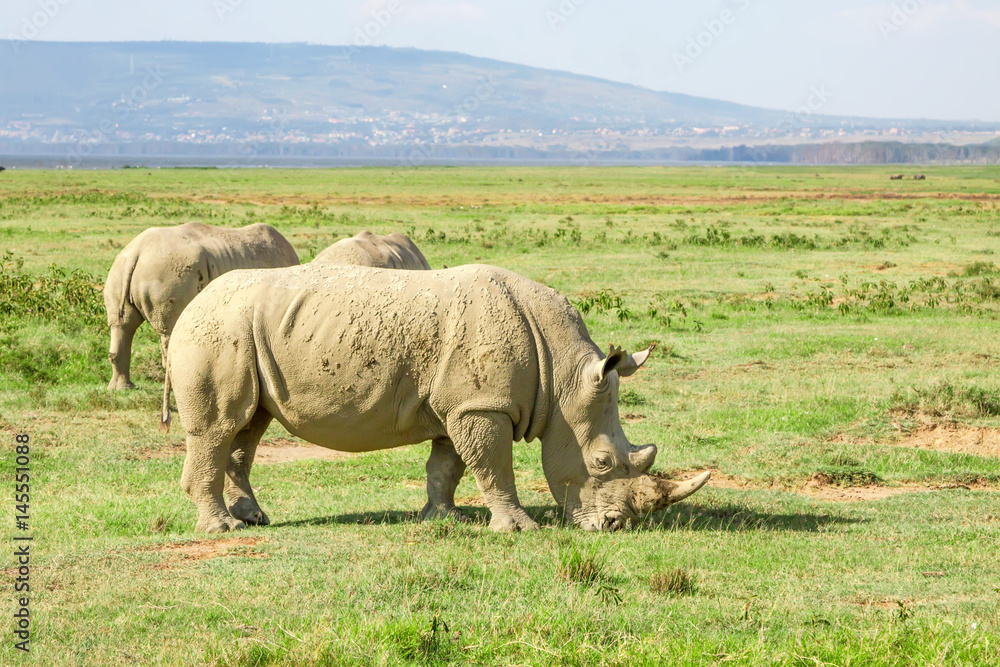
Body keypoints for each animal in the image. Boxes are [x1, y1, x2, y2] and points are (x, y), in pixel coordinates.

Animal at [103, 222, 299, 419]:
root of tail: (137, 253)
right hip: (167, 273)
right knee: (168, 331)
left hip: (119, 270)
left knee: (122, 326)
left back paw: (122, 389)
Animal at [167, 263, 710, 533]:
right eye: (601, 463)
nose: (616, 526)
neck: (564, 376)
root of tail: (191, 306)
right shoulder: (483, 404)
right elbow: (495, 466)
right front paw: (518, 529)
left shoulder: (466, 401)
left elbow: (450, 465)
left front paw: (445, 518)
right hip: (216, 331)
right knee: (218, 428)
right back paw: (221, 530)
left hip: (244, 334)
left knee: (249, 425)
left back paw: (253, 518)